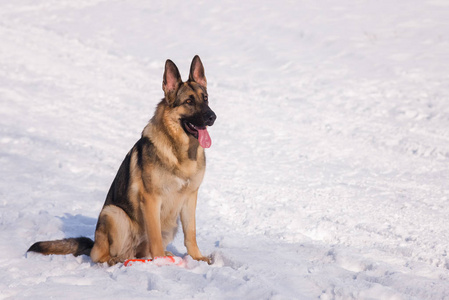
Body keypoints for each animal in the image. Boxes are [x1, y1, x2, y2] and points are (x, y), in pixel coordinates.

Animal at [27, 55, 216, 264]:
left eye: (205, 99)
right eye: (189, 101)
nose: (212, 117)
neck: (179, 151)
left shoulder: (190, 198)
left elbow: (191, 233)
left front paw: (197, 258)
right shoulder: (151, 199)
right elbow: (155, 236)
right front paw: (161, 263)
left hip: (169, 224)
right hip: (114, 214)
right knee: (102, 255)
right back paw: (120, 261)